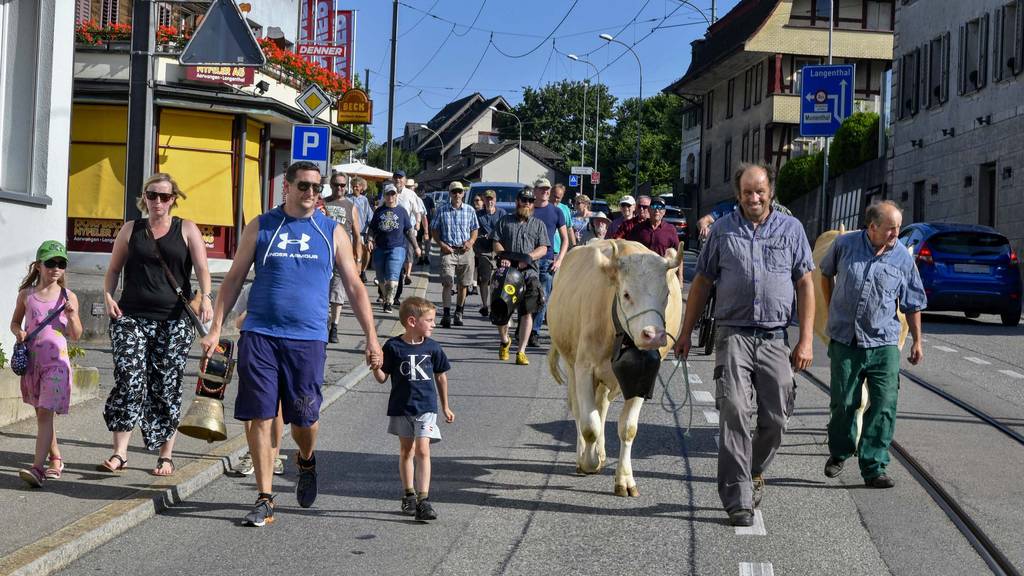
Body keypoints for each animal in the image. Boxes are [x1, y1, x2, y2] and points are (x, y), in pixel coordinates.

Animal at [548, 237, 684, 494]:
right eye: (626, 294)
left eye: (666, 293)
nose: (653, 335)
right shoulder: (584, 368)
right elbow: (589, 425)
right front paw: (588, 462)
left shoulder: (642, 377)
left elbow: (627, 428)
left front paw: (624, 479)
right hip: (571, 364)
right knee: (579, 411)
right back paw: (585, 455)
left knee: (601, 406)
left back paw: (601, 452)